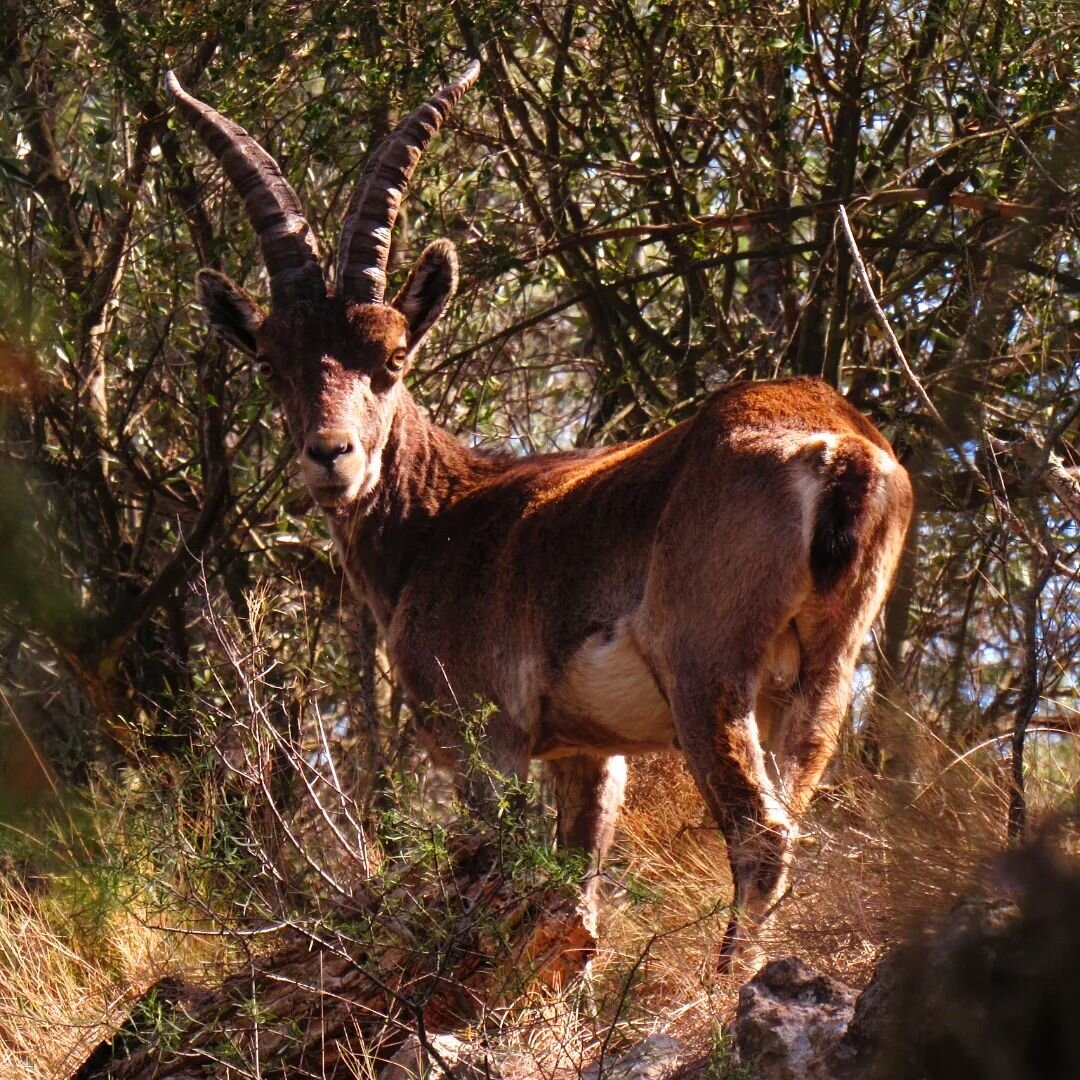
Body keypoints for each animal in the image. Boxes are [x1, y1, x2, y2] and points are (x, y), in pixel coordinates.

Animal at [168, 63, 911, 967]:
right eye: (273, 364)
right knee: (794, 809)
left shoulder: (481, 728)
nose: (331, 455)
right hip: (824, 670)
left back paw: (723, 985)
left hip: (707, 665)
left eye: (392, 357)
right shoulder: (590, 752)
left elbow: (500, 865)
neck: (440, 519)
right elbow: (577, 890)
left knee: (760, 831)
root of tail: (843, 449)